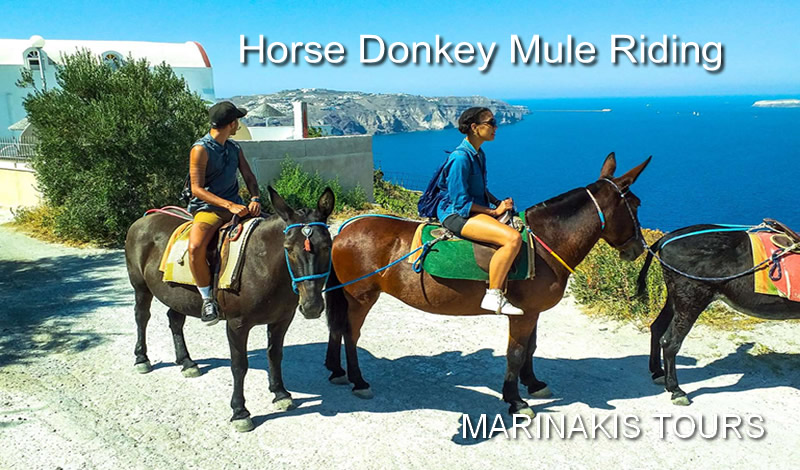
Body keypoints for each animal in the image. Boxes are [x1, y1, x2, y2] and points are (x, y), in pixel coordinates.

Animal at [124, 186, 335, 432]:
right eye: (288, 249)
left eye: (327, 246)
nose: (312, 306)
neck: (260, 264)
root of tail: (144, 218)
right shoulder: (237, 325)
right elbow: (239, 365)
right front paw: (240, 411)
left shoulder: (282, 320)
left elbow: (275, 355)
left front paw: (280, 393)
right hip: (141, 288)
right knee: (142, 317)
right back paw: (142, 358)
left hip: (176, 294)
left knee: (175, 321)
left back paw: (186, 362)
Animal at [324, 153, 651, 416]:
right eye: (635, 204)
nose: (638, 248)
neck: (545, 244)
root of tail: (344, 230)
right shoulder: (523, 314)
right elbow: (516, 353)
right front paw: (515, 399)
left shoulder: (532, 312)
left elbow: (530, 348)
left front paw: (532, 383)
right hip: (362, 297)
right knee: (351, 334)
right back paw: (358, 380)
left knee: (338, 330)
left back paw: (339, 371)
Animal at [637, 224, 800, 406]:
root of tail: (667, 238)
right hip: (691, 299)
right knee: (670, 342)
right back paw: (676, 390)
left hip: (675, 298)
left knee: (657, 327)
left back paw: (658, 372)